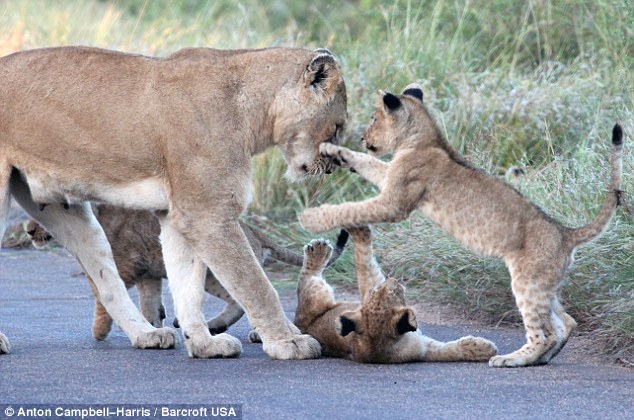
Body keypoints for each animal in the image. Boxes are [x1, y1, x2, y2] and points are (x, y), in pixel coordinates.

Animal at [0, 46, 346, 360]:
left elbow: (187, 285)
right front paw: (289, 342)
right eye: (338, 126)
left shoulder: (179, 214)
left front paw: (204, 344)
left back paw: (147, 334)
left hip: (70, 213)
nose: (332, 167)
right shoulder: (208, 213)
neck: (253, 111)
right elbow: (256, 284)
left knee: (106, 283)